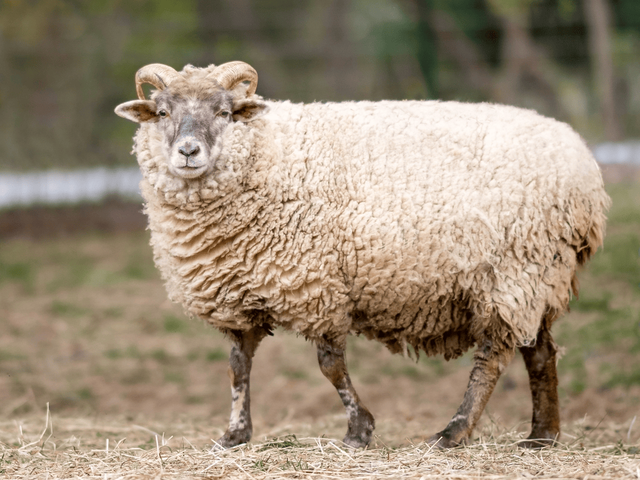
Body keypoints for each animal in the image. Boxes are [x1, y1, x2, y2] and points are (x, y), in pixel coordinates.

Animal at [115, 61, 610, 450]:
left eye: (224, 112)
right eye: (162, 112)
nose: (188, 151)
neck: (266, 153)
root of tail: (583, 162)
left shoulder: (318, 287)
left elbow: (330, 366)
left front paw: (359, 431)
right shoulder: (237, 293)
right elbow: (238, 368)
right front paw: (234, 435)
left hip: (513, 270)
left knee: (493, 356)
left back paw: (453, 433)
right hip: (537, 276)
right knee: (540, 352)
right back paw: (542, 436)